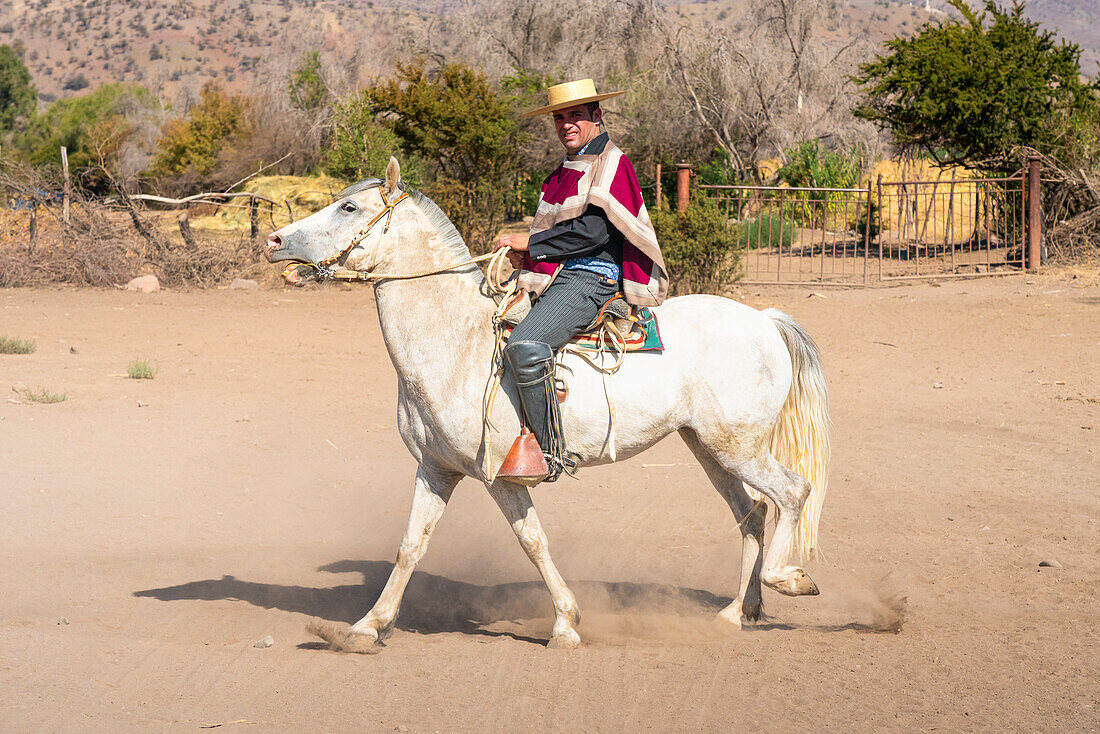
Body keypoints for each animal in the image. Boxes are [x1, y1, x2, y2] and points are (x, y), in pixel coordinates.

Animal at [266, 158, 827, 651]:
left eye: (348, 207)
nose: (274, 241)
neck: (457, 343)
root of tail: (763, 319)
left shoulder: (502, 476)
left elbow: (532, 542)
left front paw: (566, 624)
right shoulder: (435, 469)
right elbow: (410, 546)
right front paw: (367, 626)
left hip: (738, 447)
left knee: (792, 491)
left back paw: (787, 579)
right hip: (710, 449)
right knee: (753, 512)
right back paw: (738, 612)